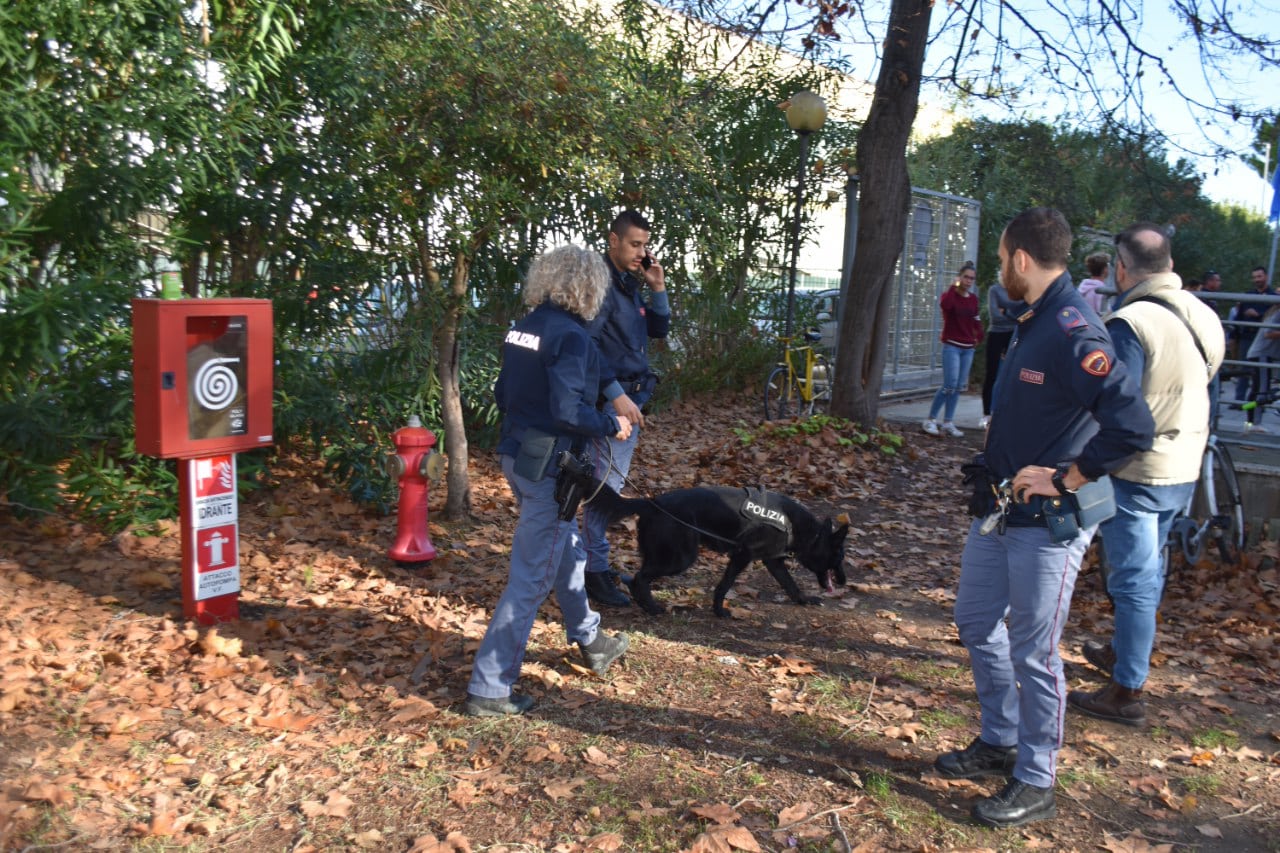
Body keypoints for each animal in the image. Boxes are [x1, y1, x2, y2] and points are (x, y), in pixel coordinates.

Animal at [568, 461, 849, 614]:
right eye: (839, 556)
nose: (844, 581)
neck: (801, 528)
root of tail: (653, 502)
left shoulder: (772, 561)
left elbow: (790, 584)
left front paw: (803, 600)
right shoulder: (742, 556)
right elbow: (725, 584)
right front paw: (719, 610)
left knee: (636, 577)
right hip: (681, 558)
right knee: (639, 578)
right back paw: (652, 608)